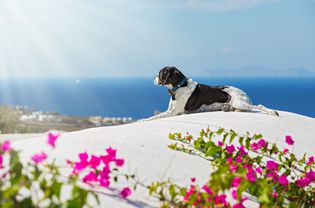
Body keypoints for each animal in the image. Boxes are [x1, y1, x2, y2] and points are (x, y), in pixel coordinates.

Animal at [144, 65, 280, 120]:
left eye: (160, 73)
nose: (152, 78)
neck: (179, 86)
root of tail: (245, 93)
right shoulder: (169, 110)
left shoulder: (174, 112)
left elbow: (154, 117)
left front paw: (143, 121)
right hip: (238, 104)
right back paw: (227, 108)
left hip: (239, 102)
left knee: (259, 106)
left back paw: (273, 112)